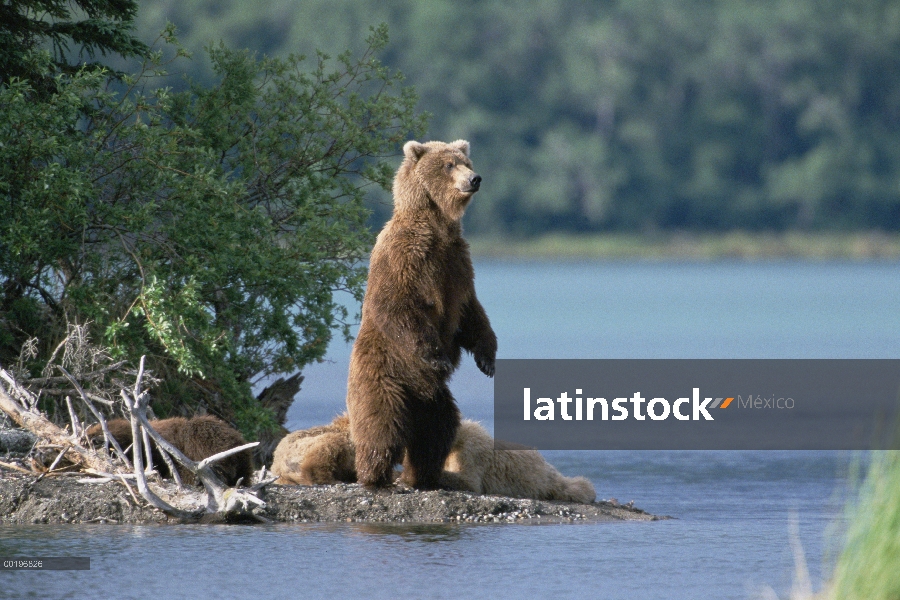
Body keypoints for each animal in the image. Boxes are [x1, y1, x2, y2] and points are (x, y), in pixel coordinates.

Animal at [346, 138, 500, 490]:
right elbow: (397, 306)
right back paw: (374, 476)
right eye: (448, 165)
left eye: (466, 162)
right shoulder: (406, 257)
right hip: (384, 374)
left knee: (437, 432)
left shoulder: (457, 263)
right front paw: (437, 357)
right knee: (381, 425)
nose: (475, 179)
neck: (436, 226)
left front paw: (487, 360)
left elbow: (471, 313)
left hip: (434, 401)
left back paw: (422, 475)